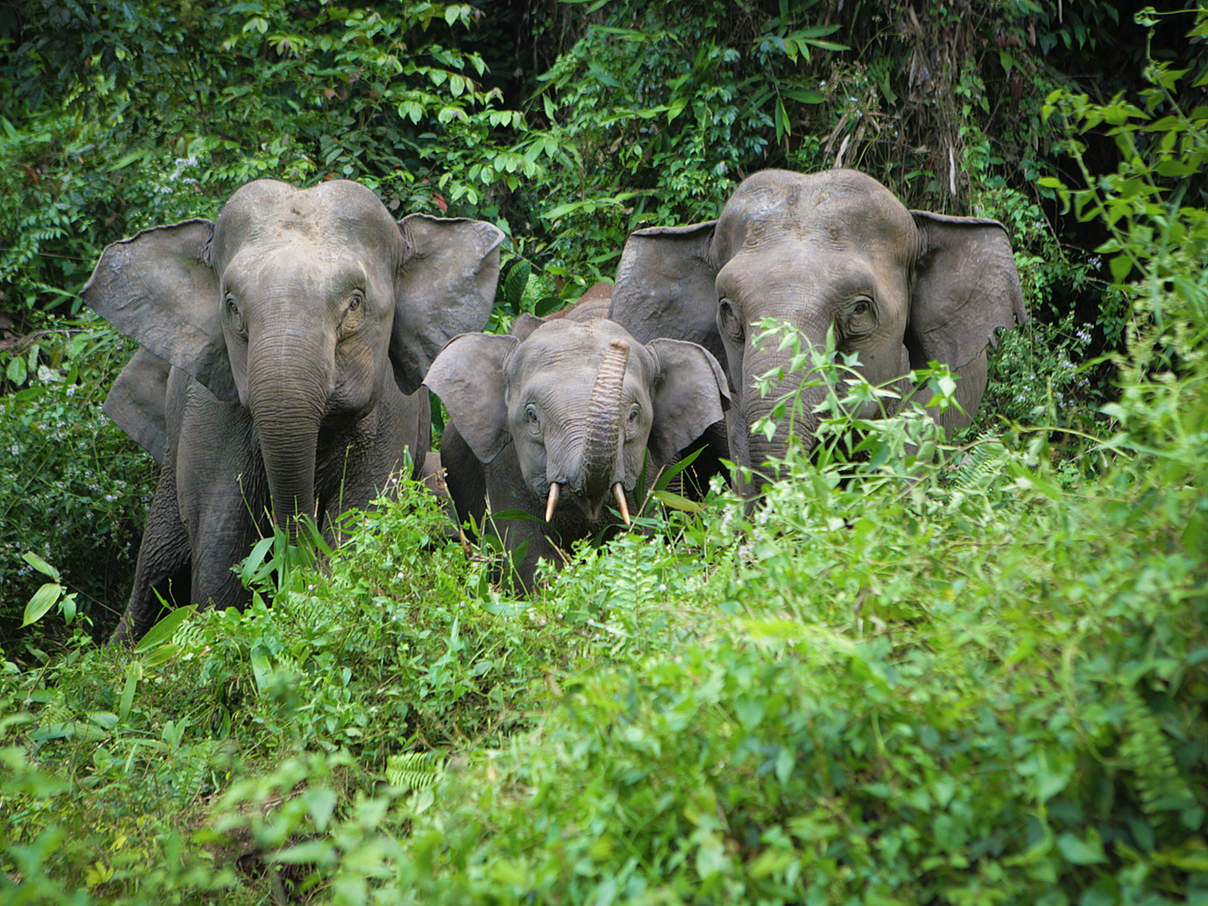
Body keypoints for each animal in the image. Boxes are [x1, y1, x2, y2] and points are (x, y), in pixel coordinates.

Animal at [82, 178, 500, 647]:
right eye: (231, 305)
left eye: (355, 302)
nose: (291, 560)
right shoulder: (209, 416)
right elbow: (221, 550)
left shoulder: (394, 418)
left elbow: (359, 524)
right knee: (156, 569)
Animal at [425, 302, 724, 591]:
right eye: (532, 416)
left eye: (633, 415)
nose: (619, 346)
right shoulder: (505, 466)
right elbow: (524, 550)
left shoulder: (656, 473)